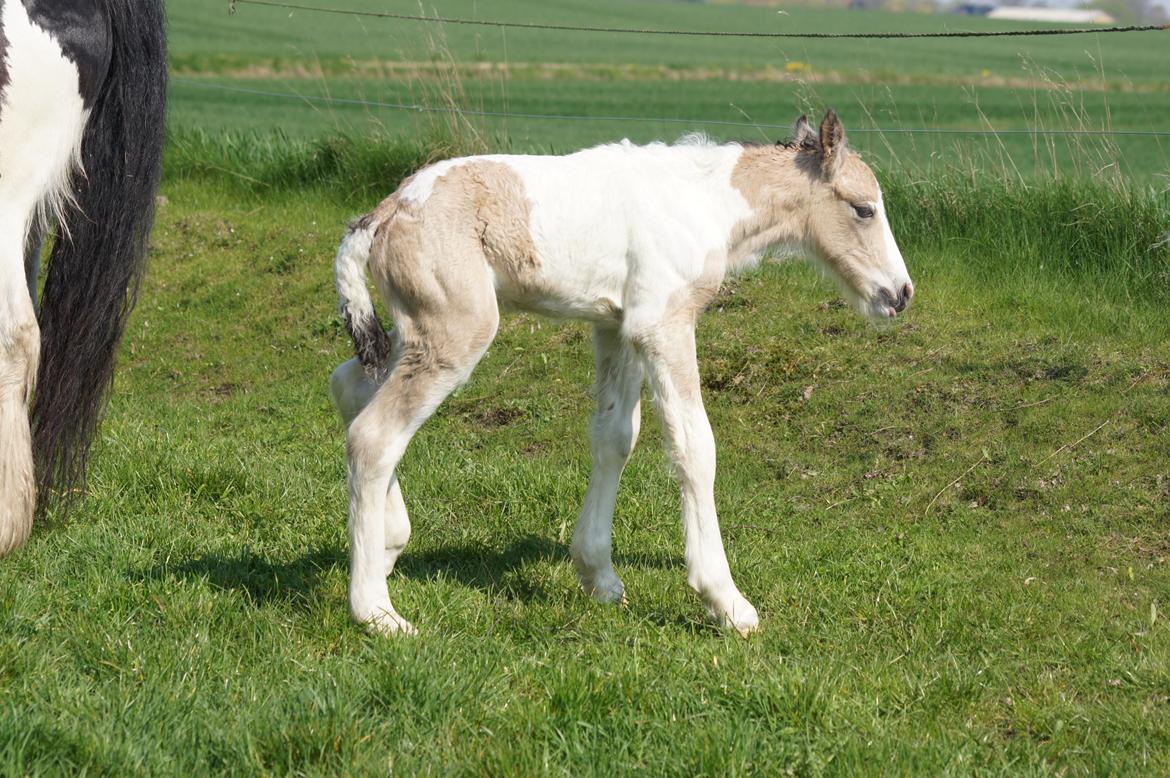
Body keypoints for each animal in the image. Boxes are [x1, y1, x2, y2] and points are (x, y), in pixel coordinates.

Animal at [329, 109, 912, 636]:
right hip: (455, 329)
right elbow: (695, 447)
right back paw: (376, 611)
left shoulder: (618, 326)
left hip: (412, 330)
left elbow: (615, 437)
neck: (707, 203)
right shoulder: (664, 325)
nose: (901, 294)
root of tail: (382, 214)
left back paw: (389, 542)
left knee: (349, 386)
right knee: (374, 436)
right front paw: (726, 602)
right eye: (864, 209)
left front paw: (599, 577)